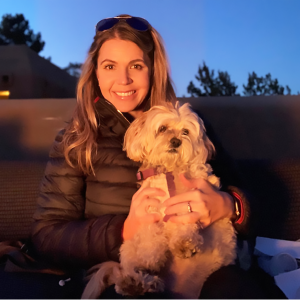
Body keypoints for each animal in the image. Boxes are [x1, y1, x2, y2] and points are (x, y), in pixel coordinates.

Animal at [81, 103, 237, 300]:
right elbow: (150, 235)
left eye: (185, 131)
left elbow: (184, 218)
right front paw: (151, 258)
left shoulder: (191, 197)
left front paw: (184, 242)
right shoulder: (147, 210)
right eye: (162, 128)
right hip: (128, 248)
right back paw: (136, 282)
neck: (168, 170)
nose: (176, 141)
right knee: (131, 271)